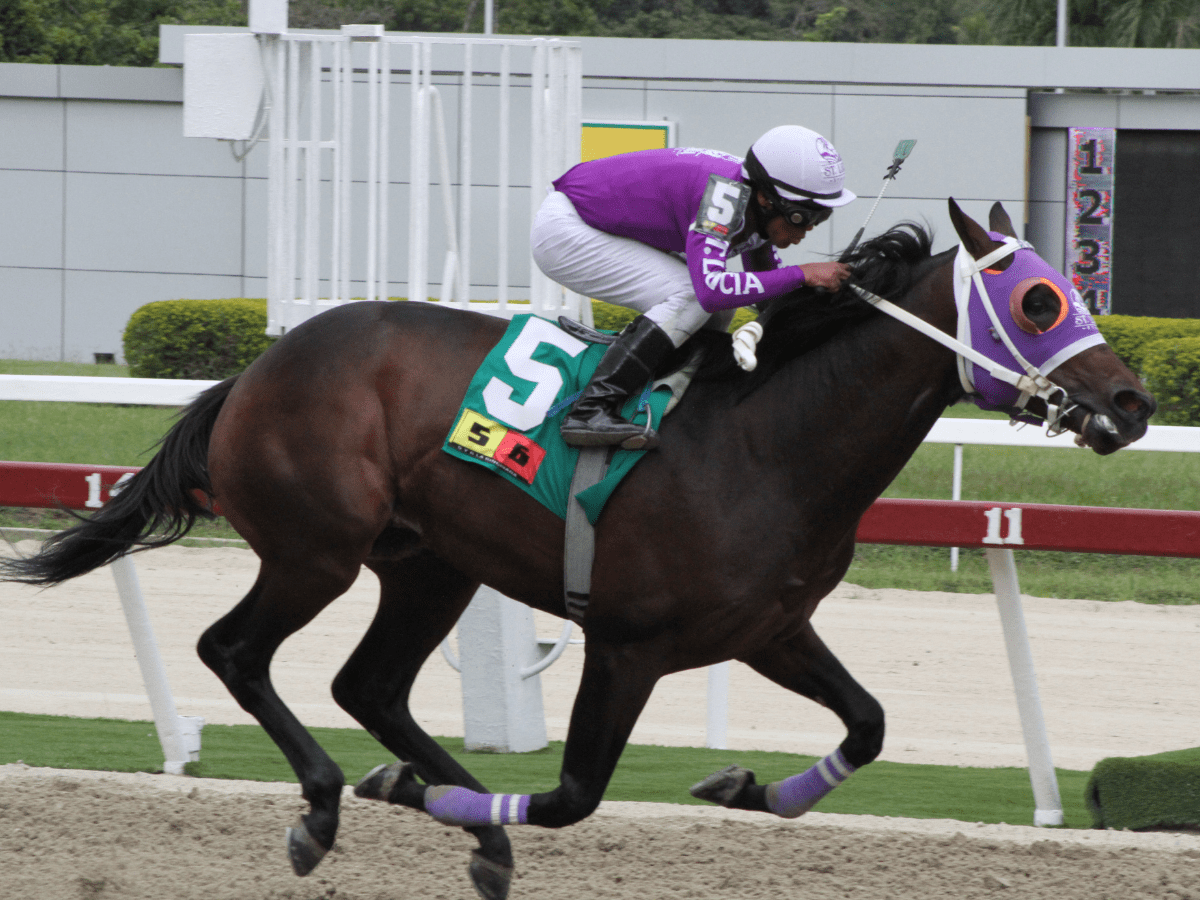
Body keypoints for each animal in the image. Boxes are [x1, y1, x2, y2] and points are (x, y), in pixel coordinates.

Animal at [4, 200, 1156, 897]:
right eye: (1041, 298)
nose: (1134, 404)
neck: (765, 438)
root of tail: (255, 369)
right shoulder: (627, 644)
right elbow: (572, 796)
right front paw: (410, 796)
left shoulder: (771, 628)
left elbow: (868, 725)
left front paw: (745, 788)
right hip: (313, 551)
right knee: (236, 652)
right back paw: (332, 804)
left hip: (428, 563)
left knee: (368, 684)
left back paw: (470, 828)